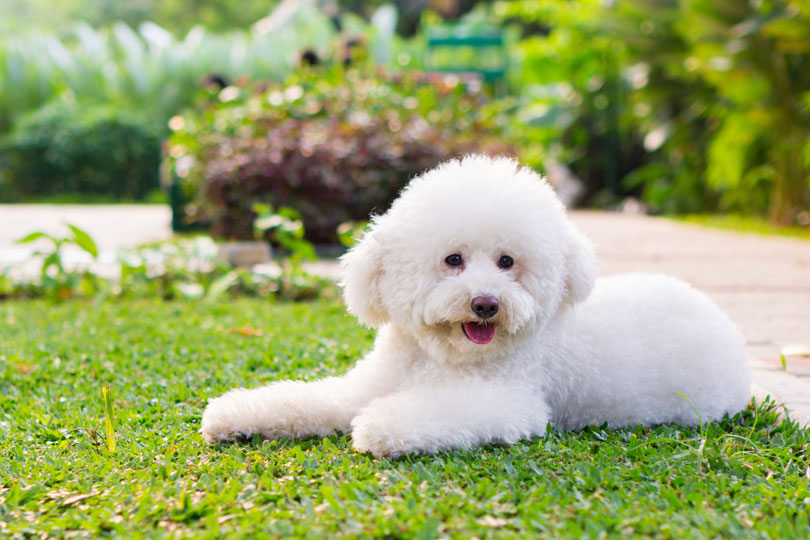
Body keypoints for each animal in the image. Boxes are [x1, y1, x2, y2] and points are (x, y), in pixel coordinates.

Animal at [199, 155, 748, 456]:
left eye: (507, 261)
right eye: (453, 259)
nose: (486, 304)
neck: (434, 357)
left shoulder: (509, 402)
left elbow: (432, 413)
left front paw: (381, 426)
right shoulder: (362, 388)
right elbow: (305, 400)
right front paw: (232, 414)